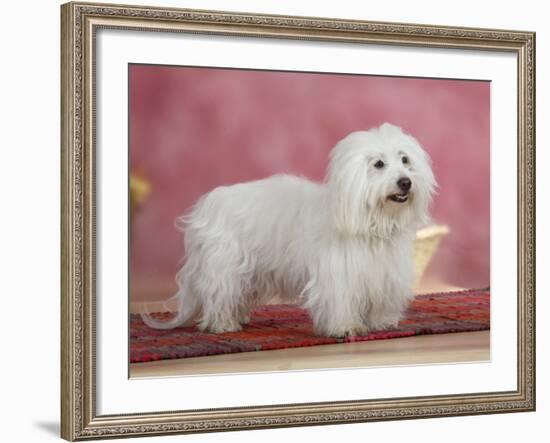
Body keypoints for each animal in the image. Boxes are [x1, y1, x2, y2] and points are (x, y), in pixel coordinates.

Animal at [142, 123, 436, 338]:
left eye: (405, 160)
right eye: (378, 164)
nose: (406, 182)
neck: (372, 222)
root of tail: (210, 201)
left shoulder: (385, 275)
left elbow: (381, 301)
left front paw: (382, 322)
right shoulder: (337, 276)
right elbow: (340, 301)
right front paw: (345, 327)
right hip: (224, 266)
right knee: (219, 295)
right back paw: (223, 324)